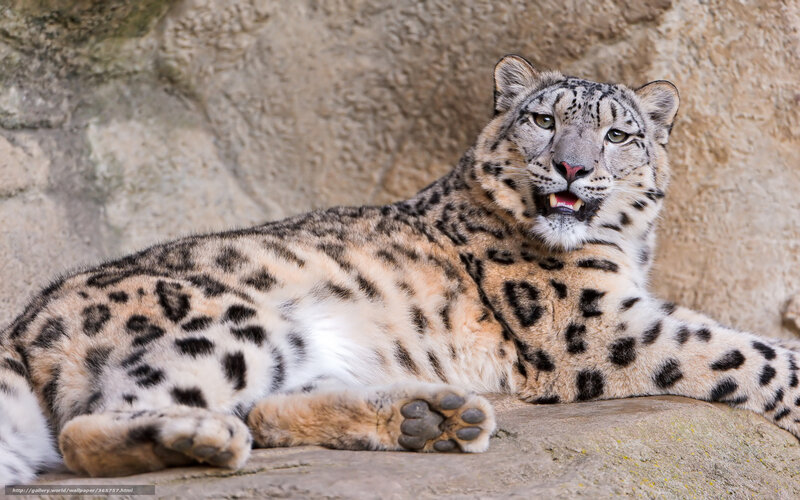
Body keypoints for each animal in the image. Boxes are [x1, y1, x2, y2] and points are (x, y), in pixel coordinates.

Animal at [2, 54, 799, 483]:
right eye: (543, 120)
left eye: (619, 135)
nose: (572, 166)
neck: (628, 249)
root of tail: (26, 321)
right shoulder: (596, 325)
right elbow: (741, 352)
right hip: (226, 323)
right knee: (89, 430)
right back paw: (203, 439)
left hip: (291, 349)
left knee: (262, 407)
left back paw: (432, 418)